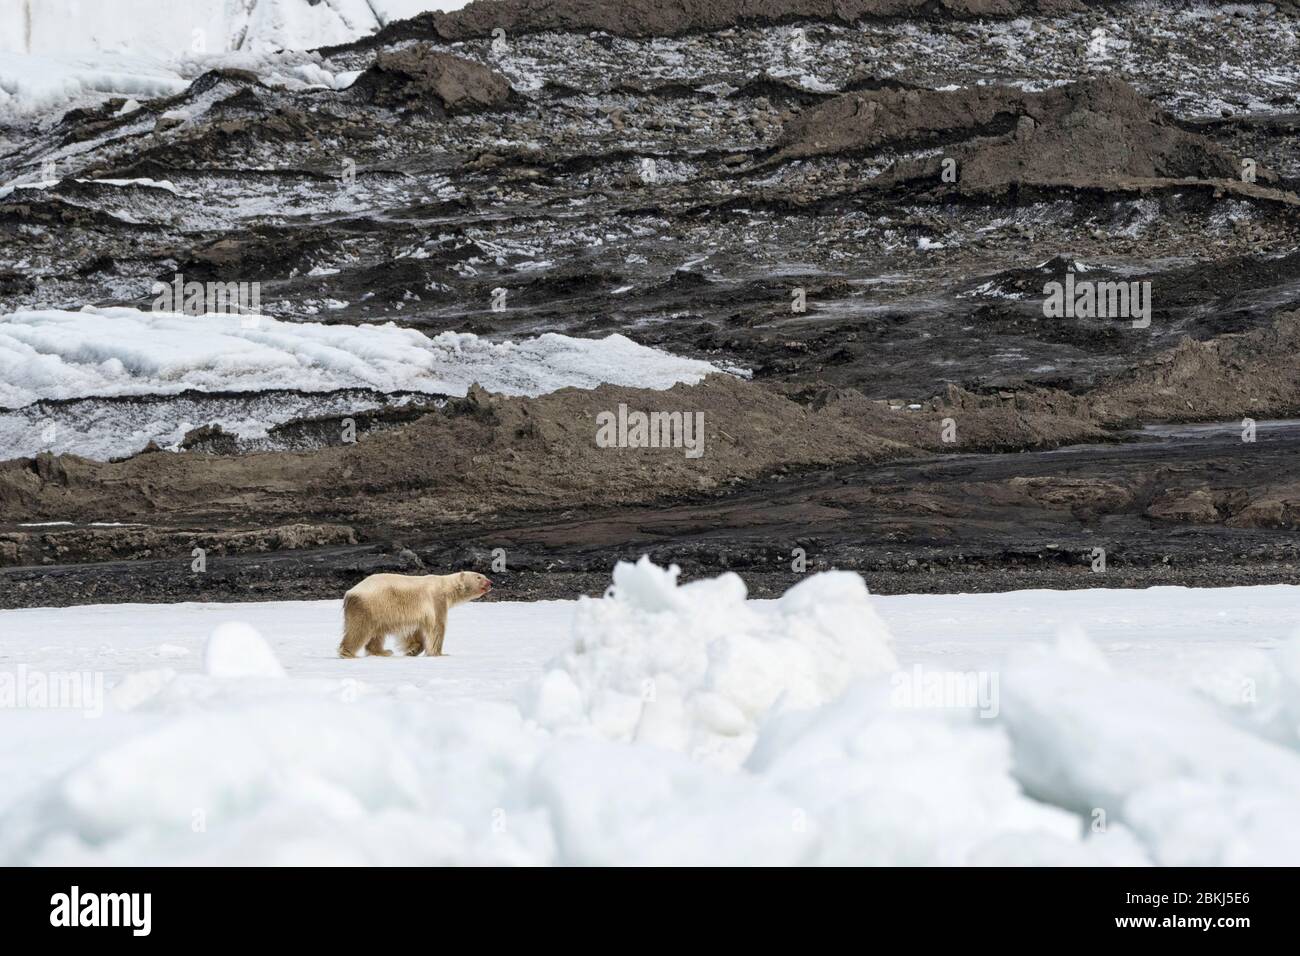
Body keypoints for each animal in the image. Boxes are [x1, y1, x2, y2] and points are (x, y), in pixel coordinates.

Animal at [338, 571, 492, 658]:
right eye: (479, 577)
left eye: (484, 576)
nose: (491, 582)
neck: (445, 586)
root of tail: (349, 593)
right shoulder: (436, 599)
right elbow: (437, 626)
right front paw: (439, 653)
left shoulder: (420, 613)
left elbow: (416, 630)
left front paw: (412, 651)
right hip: (370, 605)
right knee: (359, 629)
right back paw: (348, 653)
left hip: (378, 610)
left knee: (377, 632)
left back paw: (383, 652)